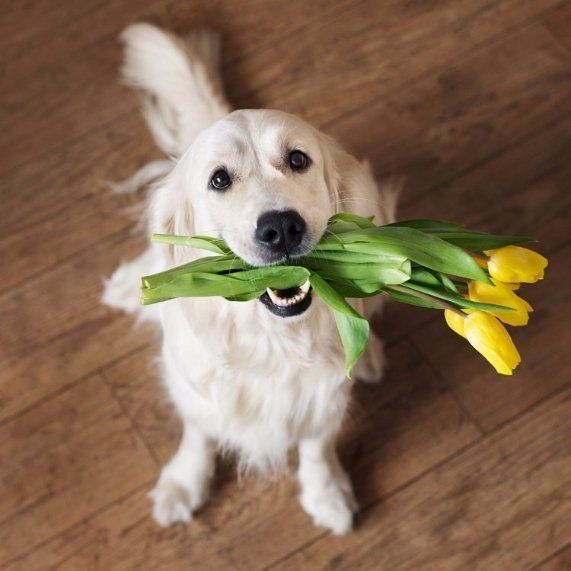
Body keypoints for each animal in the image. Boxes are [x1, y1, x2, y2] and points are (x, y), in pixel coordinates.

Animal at [103, 23, 398, 536]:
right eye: (220, 180)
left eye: (298, 160)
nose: (281, 228)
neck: (271, 341)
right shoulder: (196, 385)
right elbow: (199, 433)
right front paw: (185, 482)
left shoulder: (322, 396)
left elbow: (317, 444)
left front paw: (327, 493)